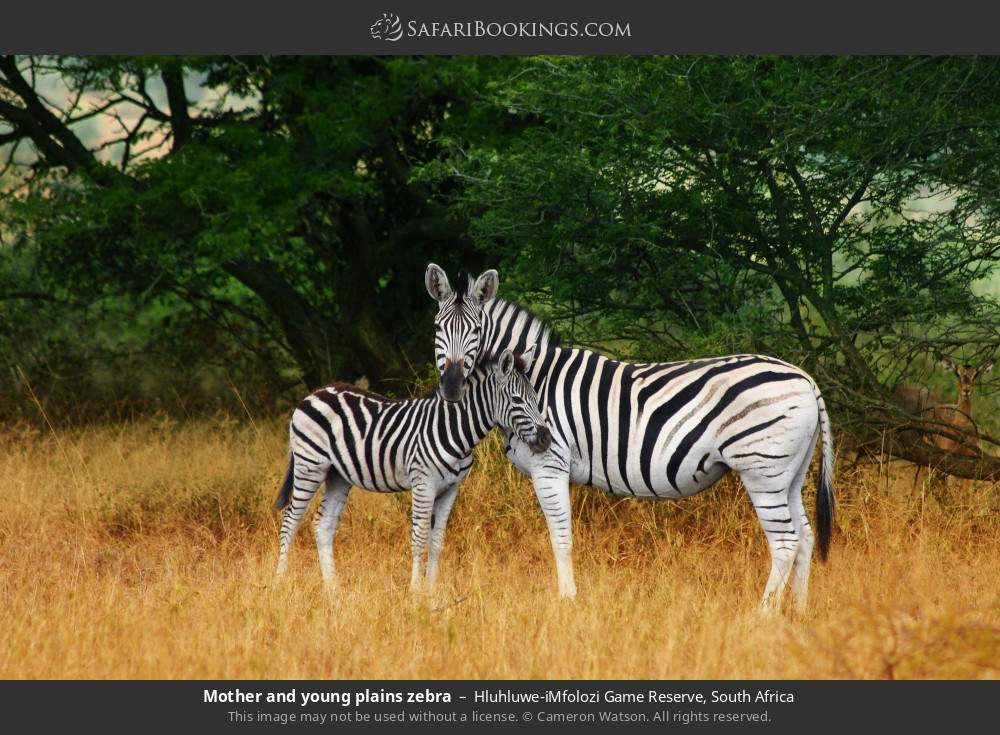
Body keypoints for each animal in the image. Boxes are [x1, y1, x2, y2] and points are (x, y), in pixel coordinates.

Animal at [273, 347, 552, 591]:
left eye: (535, 399)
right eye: (517, 400)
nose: (546, 438)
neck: (454, 429)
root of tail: (314, 394)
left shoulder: (450, 489)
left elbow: (437, 542)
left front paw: (431, 591)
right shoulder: (423, 484)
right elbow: (419, 539)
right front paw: (415, 592)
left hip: (337, 475)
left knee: (323, 524)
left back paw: (333, 589)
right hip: (310, 465)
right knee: (290, 520)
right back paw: (280, 581)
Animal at [424, 263, 835, 612]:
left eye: (476, 331)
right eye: (438, 329)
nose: (451, 387)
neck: (534, 378)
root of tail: (805, 378)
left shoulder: (549, 464)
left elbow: (561, 538)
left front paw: (567, 602)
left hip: (761, 470)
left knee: (785, 542)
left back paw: (762, 617)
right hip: (789, 474)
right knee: (805, 536)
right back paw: (797, 613)